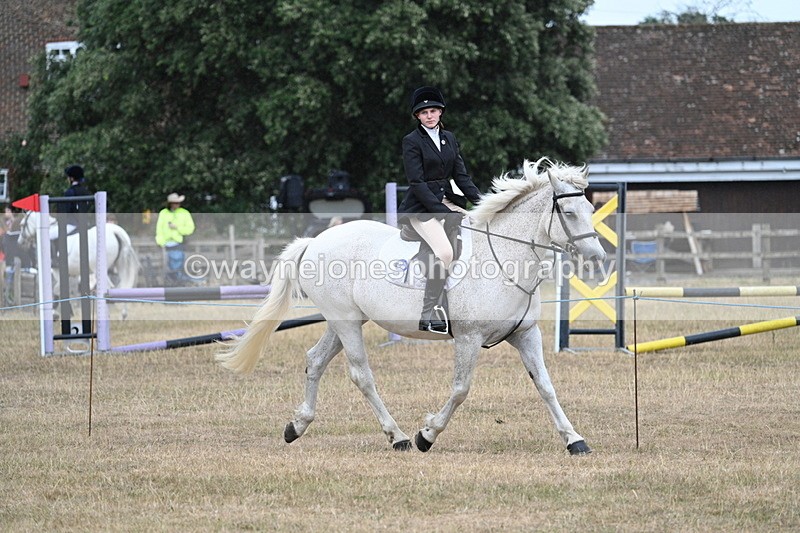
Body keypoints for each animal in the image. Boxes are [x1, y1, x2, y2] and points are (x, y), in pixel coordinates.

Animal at [216, 158, 606, 454]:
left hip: (344, 321)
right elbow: (461, 390)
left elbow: (545, 385)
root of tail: (315, 241)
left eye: (590, 208)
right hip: (345, 321)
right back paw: (399, 437)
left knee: (315, 361)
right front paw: (426, 435)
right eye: (568, 212)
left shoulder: (525, 334)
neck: (506, 258)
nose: (597, 259)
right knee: (362, 375)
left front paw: (574, 440)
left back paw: (296, 426)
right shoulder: (469, 338)